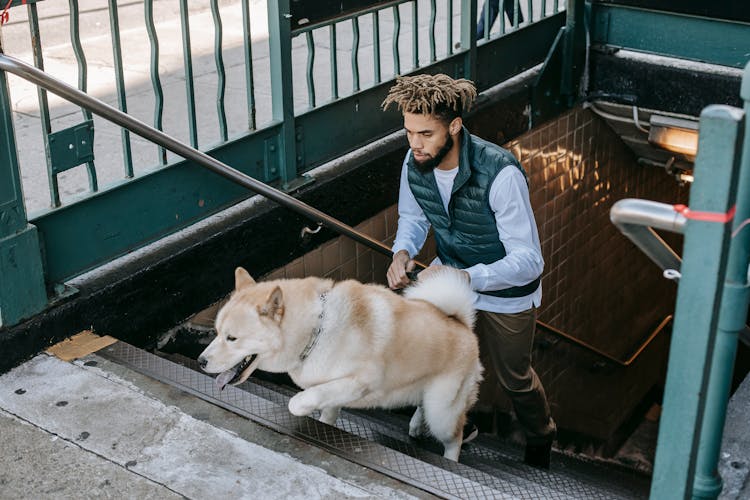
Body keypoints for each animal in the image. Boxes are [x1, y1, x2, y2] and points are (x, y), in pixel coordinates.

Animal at [198, 268, 482, 458]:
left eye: (232, 338)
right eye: (216, 332)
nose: (200, 361)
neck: (316, 330)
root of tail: (461, 324)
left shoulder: (361, 381)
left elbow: (298, 401)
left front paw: (304, 409)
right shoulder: (333, 388)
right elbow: (326, 409)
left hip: (442, 412)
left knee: (454, 438)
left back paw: (450, 459)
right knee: (421, 405)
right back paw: (414, 425)